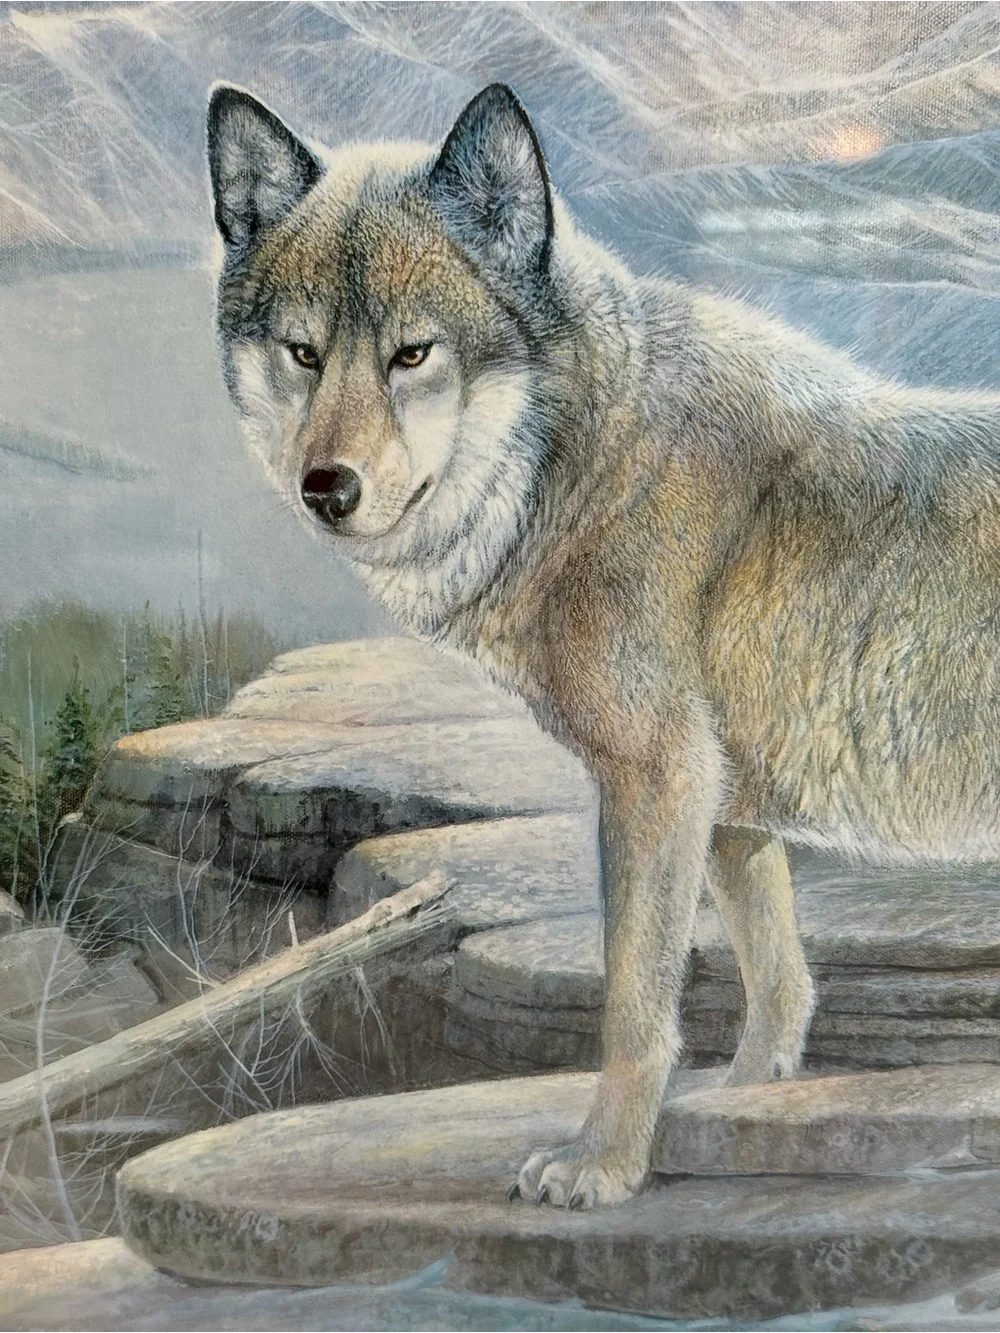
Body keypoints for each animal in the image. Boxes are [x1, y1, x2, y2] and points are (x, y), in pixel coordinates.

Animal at [207, 81, 1000, 1209]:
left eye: (414, 354)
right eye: (303, 352)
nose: (328, 489)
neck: (592, 455)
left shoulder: (656, 781)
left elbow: (632, 1004)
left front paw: (606, 1165)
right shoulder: (730, 811)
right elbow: (780, 984)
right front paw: (741, 1108)